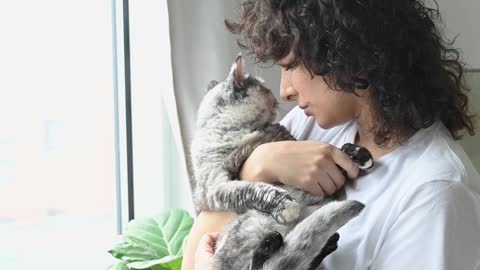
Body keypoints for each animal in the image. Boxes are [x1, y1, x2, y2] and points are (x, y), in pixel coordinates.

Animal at [189, 56, 374, 268]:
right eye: (266, 89)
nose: (278, 99)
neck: (239, 129)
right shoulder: (215, 185)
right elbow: (253, 189)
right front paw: (286, 206)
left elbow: (337, 158)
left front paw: (357, 154)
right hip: (252, 223)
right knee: (258, 265)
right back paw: (270, 245)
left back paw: (325, 244)